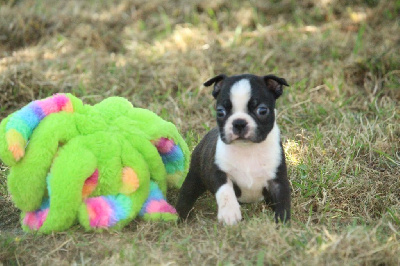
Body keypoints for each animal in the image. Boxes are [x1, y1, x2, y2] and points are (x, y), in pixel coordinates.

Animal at [176, 72, 290, 224]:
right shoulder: (218, 171)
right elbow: (225, 190)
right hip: (195, 176)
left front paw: (282, 221)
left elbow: (283, 200)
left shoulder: (278, 180)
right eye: (220, 112)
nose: (239, 122)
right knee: (186, 194)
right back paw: (179, 216)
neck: (248, 149)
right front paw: (229, 212)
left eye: (262, 110)